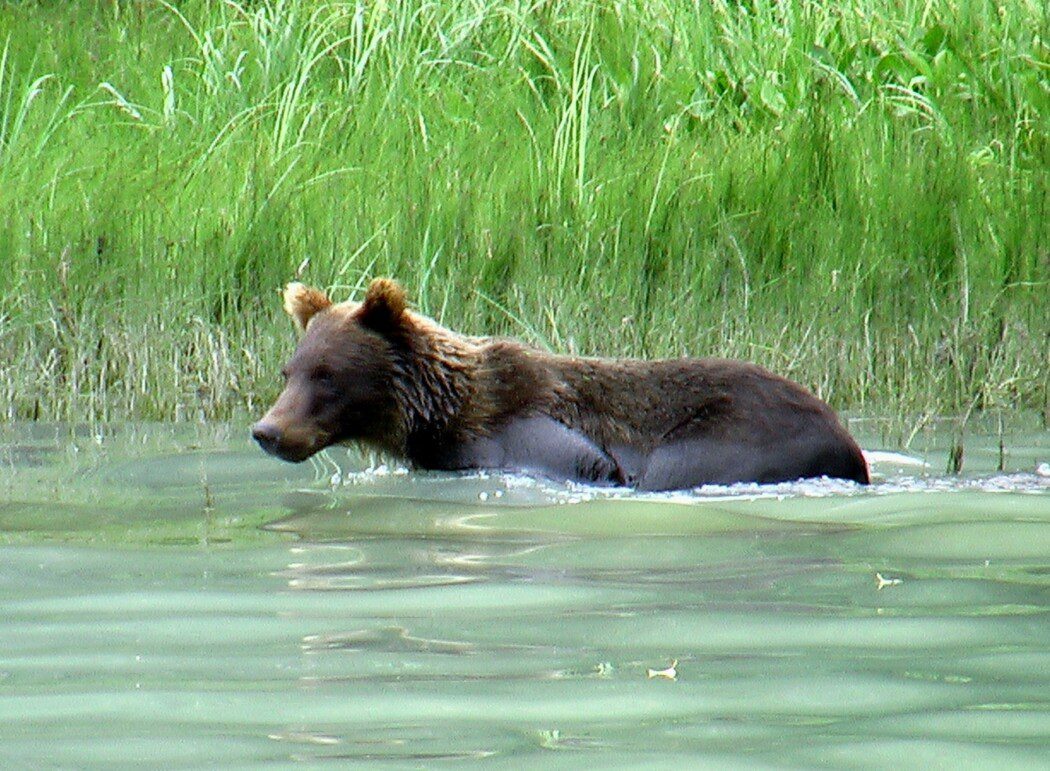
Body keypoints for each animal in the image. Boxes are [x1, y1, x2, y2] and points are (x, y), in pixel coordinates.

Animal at [252, 278, 870, 490]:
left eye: (328, 375)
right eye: (289, 370)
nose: (266, 430)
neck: (439, 414)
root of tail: (848, 440)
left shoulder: (523, 431)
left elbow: (590, 459)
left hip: (740, 434)